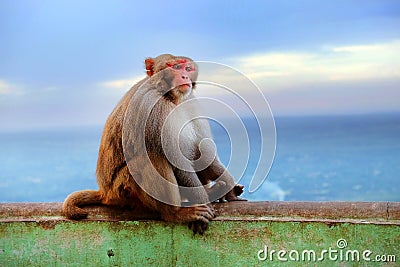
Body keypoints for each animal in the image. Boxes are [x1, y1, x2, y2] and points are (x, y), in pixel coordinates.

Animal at [61, 54, 245, 234]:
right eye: (176, 67)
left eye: (188, 68)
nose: (185, 76)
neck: (171, 97)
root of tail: (105, 193)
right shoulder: (153, 108)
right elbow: (175, 159)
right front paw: (202, 202)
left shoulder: (190, 103)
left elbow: (201, 153)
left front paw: (229, 188)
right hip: (122, 190)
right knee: (151, 157)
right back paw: (175, 213)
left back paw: (212, 191)